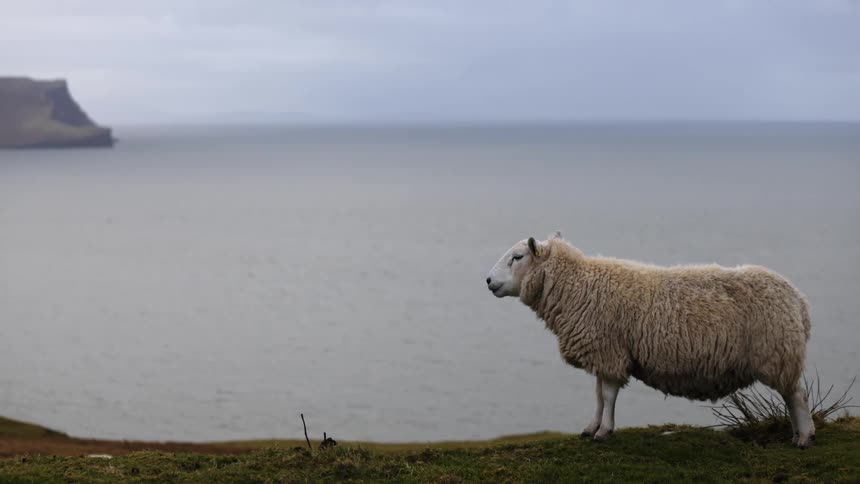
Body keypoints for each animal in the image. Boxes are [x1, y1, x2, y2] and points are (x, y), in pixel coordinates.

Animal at [485, 231, 815, 448]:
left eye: (517, 257)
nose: (488, 281)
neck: (577, 286)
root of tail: (799, 300)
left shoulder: (610, 351)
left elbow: (608, 396)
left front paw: (604, 432)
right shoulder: (603, 353)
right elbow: (598, 395)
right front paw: (591, 427)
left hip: (778, 352)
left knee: (797, 395)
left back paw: (805, 437)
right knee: (793, 394)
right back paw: (799, 434)